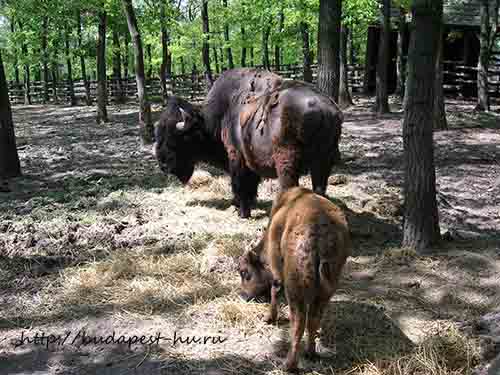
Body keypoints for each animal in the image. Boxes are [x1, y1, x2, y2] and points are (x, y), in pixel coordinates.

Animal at [153, 69, 344, 219]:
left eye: (173, 138)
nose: (163, 165)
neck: (217, 118)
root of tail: (324, 109)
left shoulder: (236, 156)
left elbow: (240, 183)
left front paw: (241, 211)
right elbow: (250, 184)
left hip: (287, 163)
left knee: (289, 187)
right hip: (323, 162)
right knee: (319, 188)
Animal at [238, 188, 352, 374]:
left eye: (244, 272)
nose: (243, 295)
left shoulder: (277, 267)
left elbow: (274, 289)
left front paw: (269, 318)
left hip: (295, 290)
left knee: (299, 322)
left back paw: (289, 365)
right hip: (327, 289)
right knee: (313, 318)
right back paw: (310, 353)